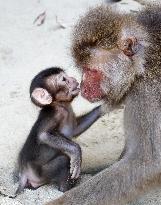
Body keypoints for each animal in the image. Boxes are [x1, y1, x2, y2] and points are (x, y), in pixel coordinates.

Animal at [15, 67, 100, 195]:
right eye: (64, 79)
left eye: (67, 76)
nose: (73, 79)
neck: (61, 105)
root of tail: (23, 172)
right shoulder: (55, 114)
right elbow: (43, 135)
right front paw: (76, 152)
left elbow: (76, 130)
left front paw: (105, 108)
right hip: (40, 175)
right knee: (63, 161)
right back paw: (66, 189)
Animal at [46, 4, 161, 205]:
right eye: (83, 69)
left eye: (91, 71)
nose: (83, 87)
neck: (143, 61)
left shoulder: (147, 92)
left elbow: (146, 162)